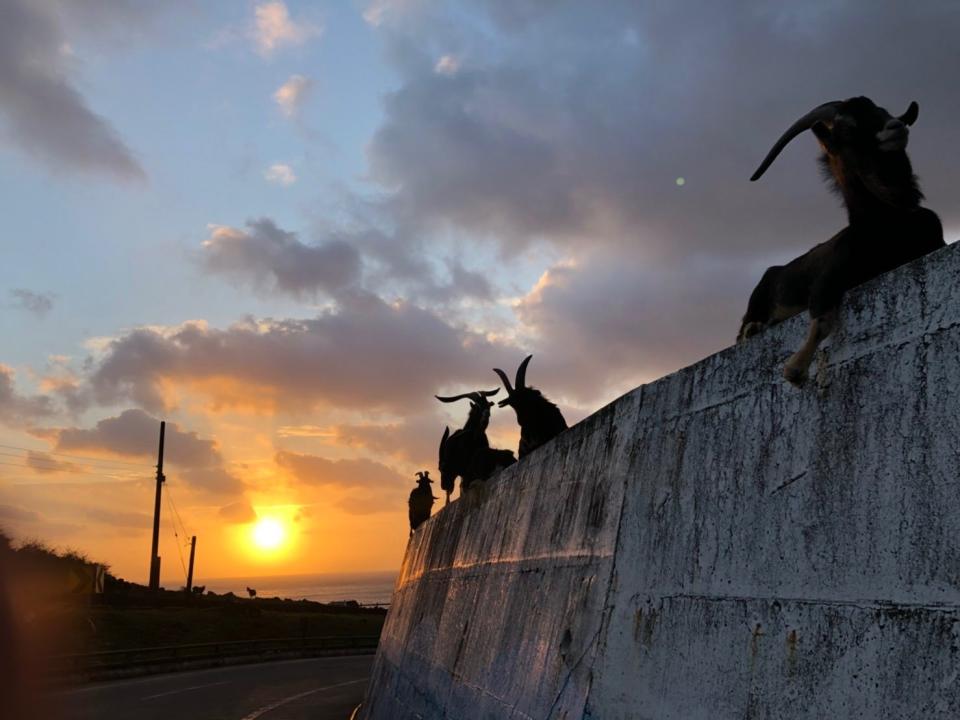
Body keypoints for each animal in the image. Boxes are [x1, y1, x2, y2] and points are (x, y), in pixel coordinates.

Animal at [740, 100, 940, 388]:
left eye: (886, 113)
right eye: (847, 129)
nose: (895, 127)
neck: (889, 224)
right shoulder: (827, 278)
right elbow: (821, 317)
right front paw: (795, 369)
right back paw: (753, 329)